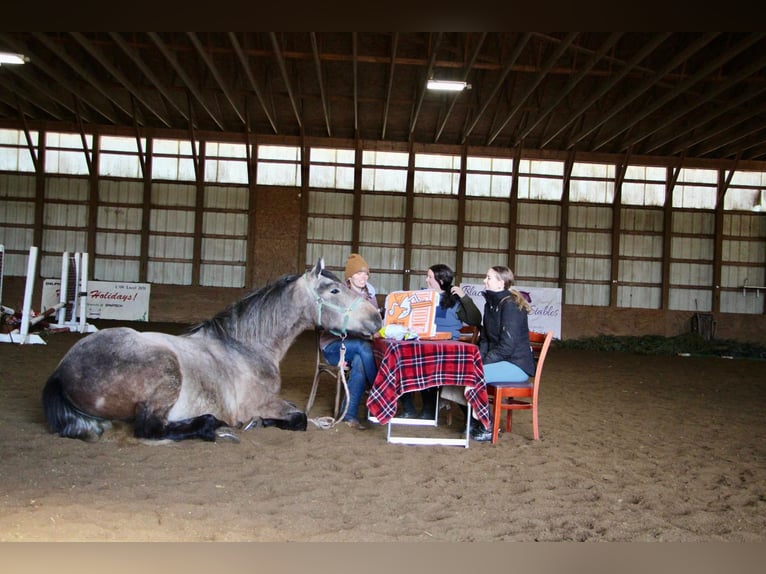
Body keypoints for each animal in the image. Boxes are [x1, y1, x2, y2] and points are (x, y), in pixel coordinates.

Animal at [40, 260, 382, 446]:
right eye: (334, 290)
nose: (376, 317)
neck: (245, 346)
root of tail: (61, 372)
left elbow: (299, 412)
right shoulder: (256, 403)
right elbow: (299, 418)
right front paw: (255, 423)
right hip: (165, 371)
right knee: (151, 430)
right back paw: (213, 427)